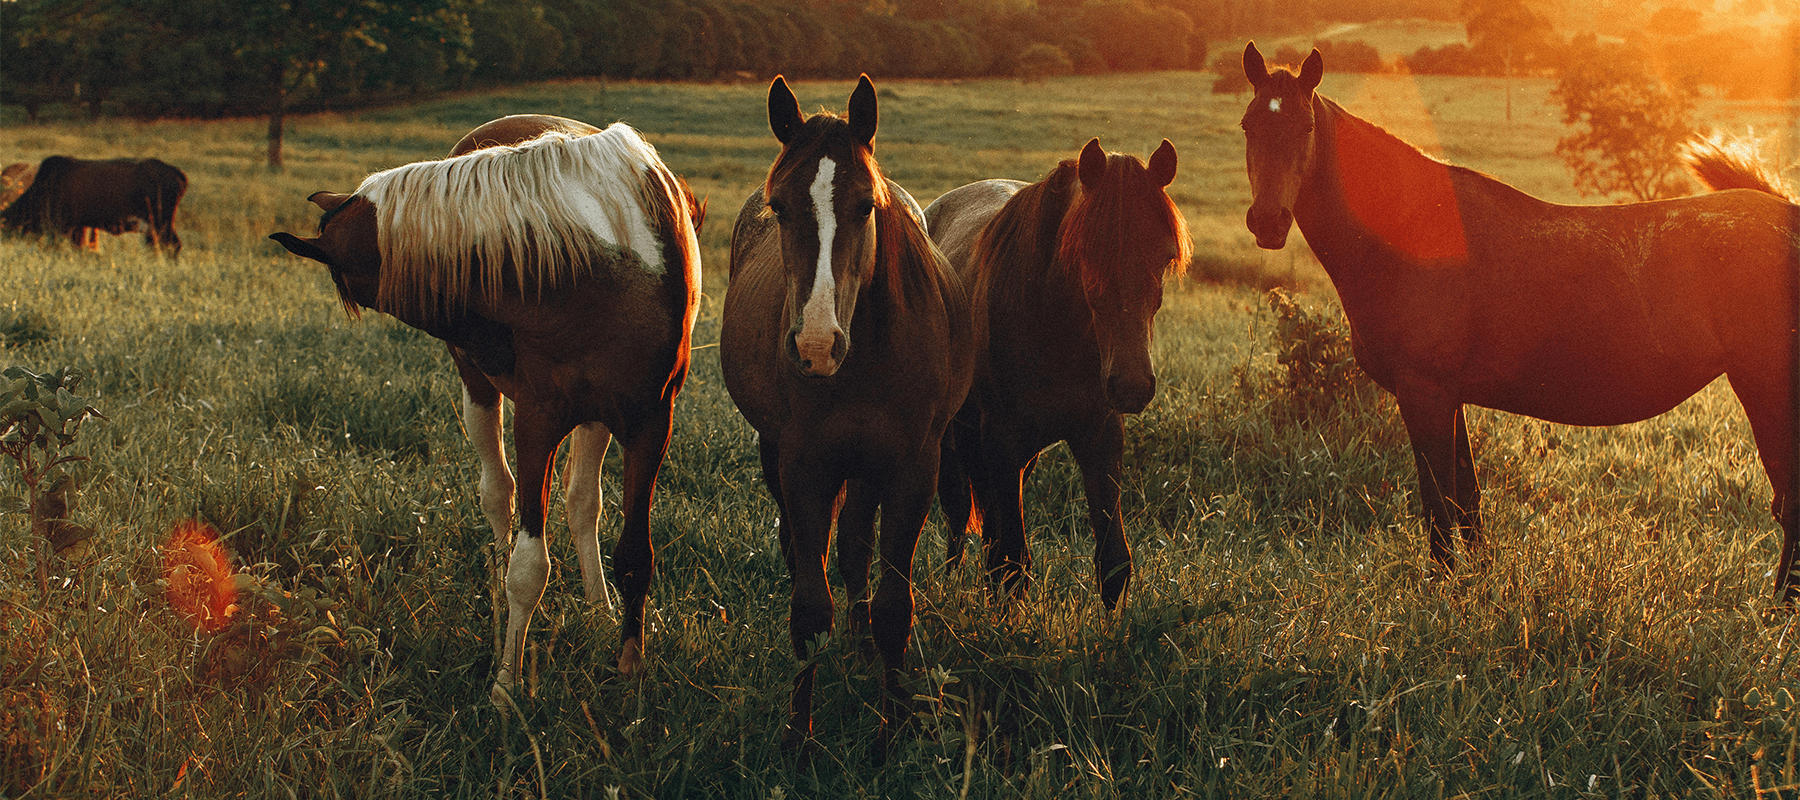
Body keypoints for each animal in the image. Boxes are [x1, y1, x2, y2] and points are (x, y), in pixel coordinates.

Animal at [0, 156, 186, 256]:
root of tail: (179, 175)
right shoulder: (80, 226)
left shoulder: (65, 227)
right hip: (154, 228)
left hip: (162, 224)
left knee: (174, 245)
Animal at [269, 116, 703, 703]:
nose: (482, 340)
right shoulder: (537, 420)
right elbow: (528, 566)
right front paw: (505, 684)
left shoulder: (650, 422)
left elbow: (636, 553)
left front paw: (629, 667)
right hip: (482, 393)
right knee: (499, 495)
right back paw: (500, 604)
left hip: (596, 416)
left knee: (581, 502)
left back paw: (597, 607)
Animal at [719, 75, 973, 755]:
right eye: (780, 207)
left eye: (865, 206)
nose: (814, 345)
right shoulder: (805, 464)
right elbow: (809, 606)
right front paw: (797, 737)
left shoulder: (913, 468)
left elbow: (893, 606)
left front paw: (895, 728)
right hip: (782, 455)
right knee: (805, 548)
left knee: (857, 544)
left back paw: (861, 647)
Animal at [925, 138, 1189, 610]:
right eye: (1086, 253)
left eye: (1165, 256)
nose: (1132, 385)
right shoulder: (1002, 441)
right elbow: (1012, 563)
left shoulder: (1100, 437)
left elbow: (1113, 562)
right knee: (958, 518)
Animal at [1239, 42, 1799, 598]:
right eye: (1248, 125)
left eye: (1305, 127)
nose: (1267, 221)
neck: (1414, 230)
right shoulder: (1448, 395)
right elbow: (1467, 500)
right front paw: (1479, 581)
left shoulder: (1424, 392)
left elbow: (1438, 501)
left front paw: (1443, 587)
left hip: (1765, 388)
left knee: (1789, 501)